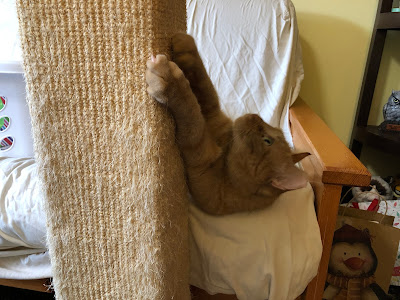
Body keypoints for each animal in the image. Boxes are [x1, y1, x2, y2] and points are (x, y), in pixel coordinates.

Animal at [146, 33, 310, 216]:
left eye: (267, 140)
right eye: (272, 128)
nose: (255, 116)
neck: (226, 148)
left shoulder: (201, 154)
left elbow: (192, 115)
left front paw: (169, 79)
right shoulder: (212, 112)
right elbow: (204, 83)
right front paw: (185, 42)